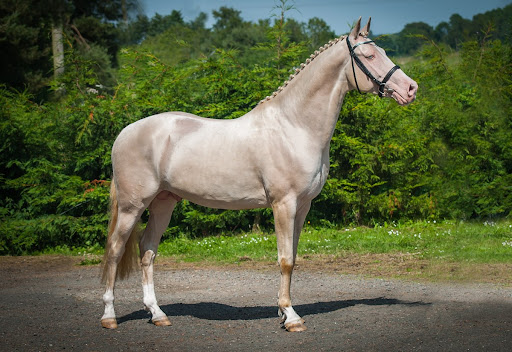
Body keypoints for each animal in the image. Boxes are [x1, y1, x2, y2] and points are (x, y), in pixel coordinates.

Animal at [100, 17, 416, 332]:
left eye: (382, 51)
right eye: (369, 56)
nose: (411, 88)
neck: (294, 126)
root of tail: (125, 133)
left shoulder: (303, 206)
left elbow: (294, 256)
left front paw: (283, 311)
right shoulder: (283, 204)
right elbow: (285, 259)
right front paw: (291, 317)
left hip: (163, 202)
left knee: (147, 250)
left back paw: (157, 314)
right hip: (132, 206)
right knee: (115, 249)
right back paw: (109, 316)